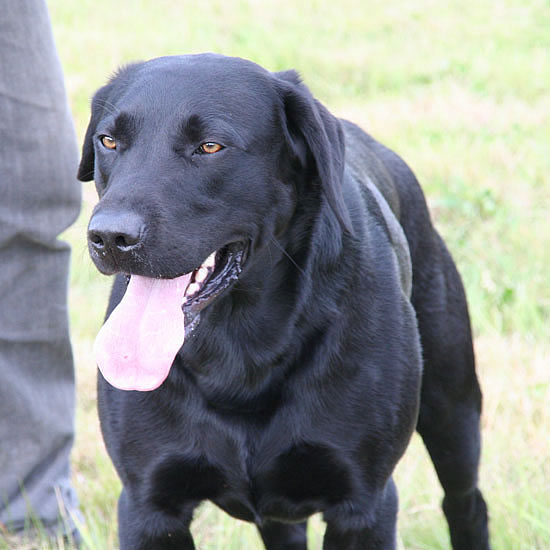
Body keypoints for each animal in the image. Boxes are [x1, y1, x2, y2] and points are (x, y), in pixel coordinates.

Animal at [78, 52, 492, 550]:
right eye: (109, 140)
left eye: (211, 147)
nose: (109, 236)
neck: (239, 347)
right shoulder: (149, 506)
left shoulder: (364, 505)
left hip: (452, 405)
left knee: (465, 502)